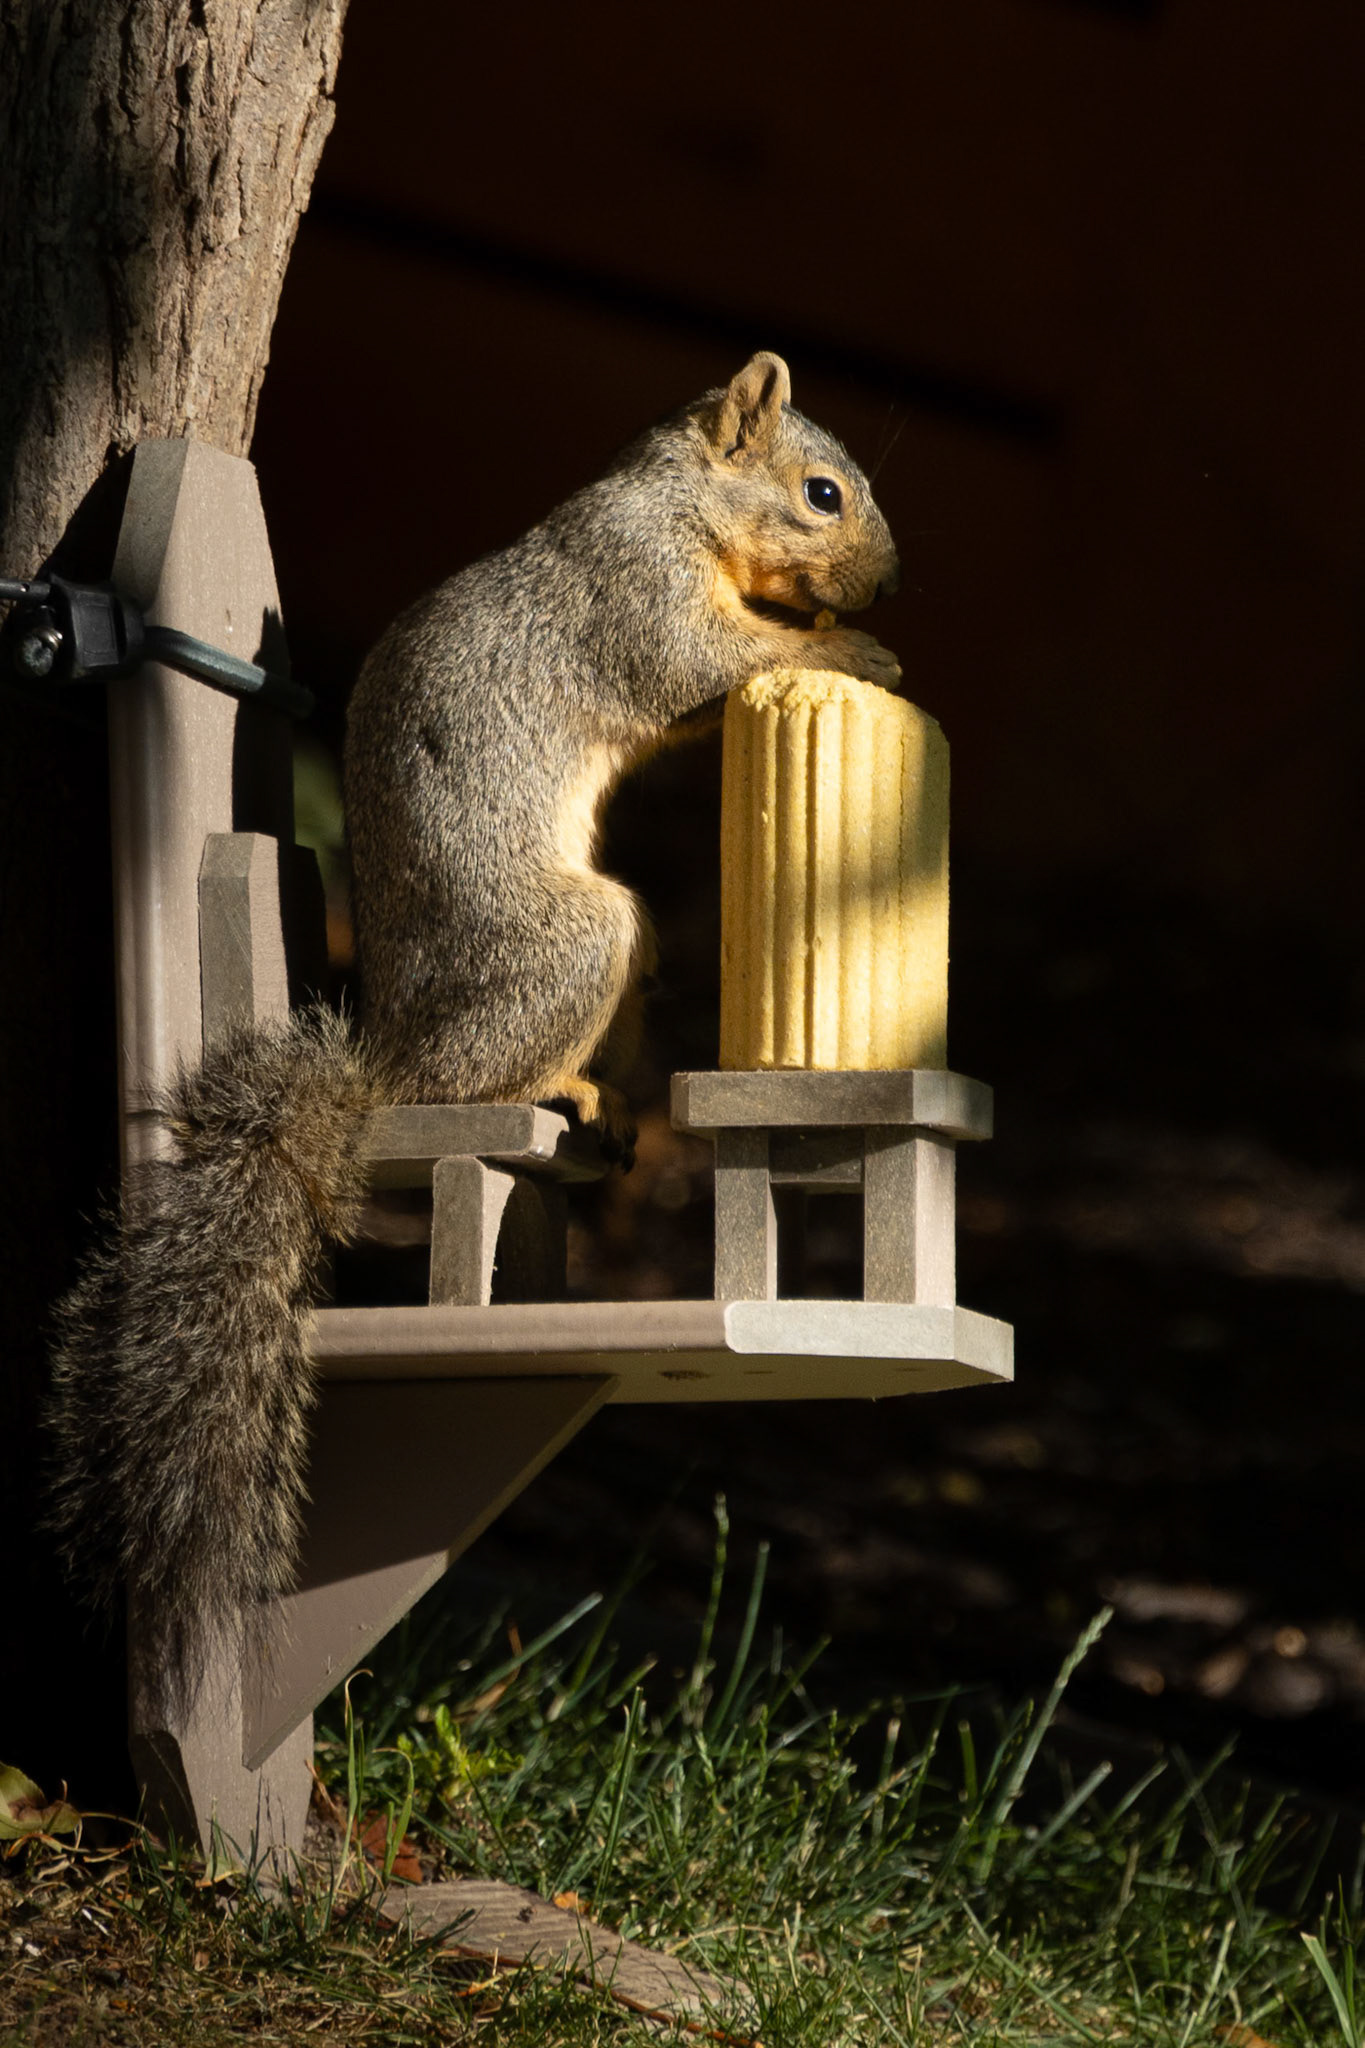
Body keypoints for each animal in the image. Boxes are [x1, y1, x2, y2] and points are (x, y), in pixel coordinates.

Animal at [45, 351, 901, 1661]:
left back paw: (600, 1098)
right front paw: (857, 646)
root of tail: (388, 1055)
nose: (887, 579)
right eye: (821, 493)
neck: (677, 502)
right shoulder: (635, 592)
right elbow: (705, 664)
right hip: (574, 947)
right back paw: (554, 1088)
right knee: (477, 1075)